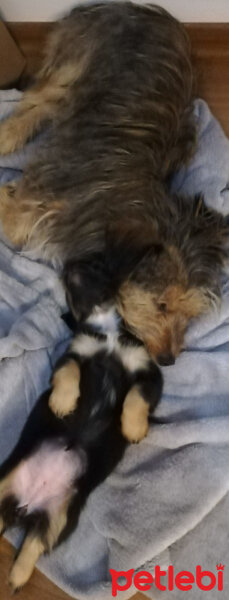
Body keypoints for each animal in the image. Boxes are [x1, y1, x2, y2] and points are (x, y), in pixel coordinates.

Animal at [0, 2, 227, 364]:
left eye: (189, 315)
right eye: (162, 304)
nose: (168, 359)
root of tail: (138, 7)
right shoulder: (41, 198)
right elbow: (15, 224)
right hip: (75, 62)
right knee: (40, 98)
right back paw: (8, 135)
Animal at [0, 258, 163, 592]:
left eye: (96, 266)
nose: (71, 265)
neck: (107, 329)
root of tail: (23, 505)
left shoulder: (149, 374)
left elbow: (137, 397)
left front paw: (132, 428)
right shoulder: (74, 353)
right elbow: (69, 372)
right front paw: (63, 403)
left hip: (61, 517)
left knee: (34, 543)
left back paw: (16, 577)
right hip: (4, 483)